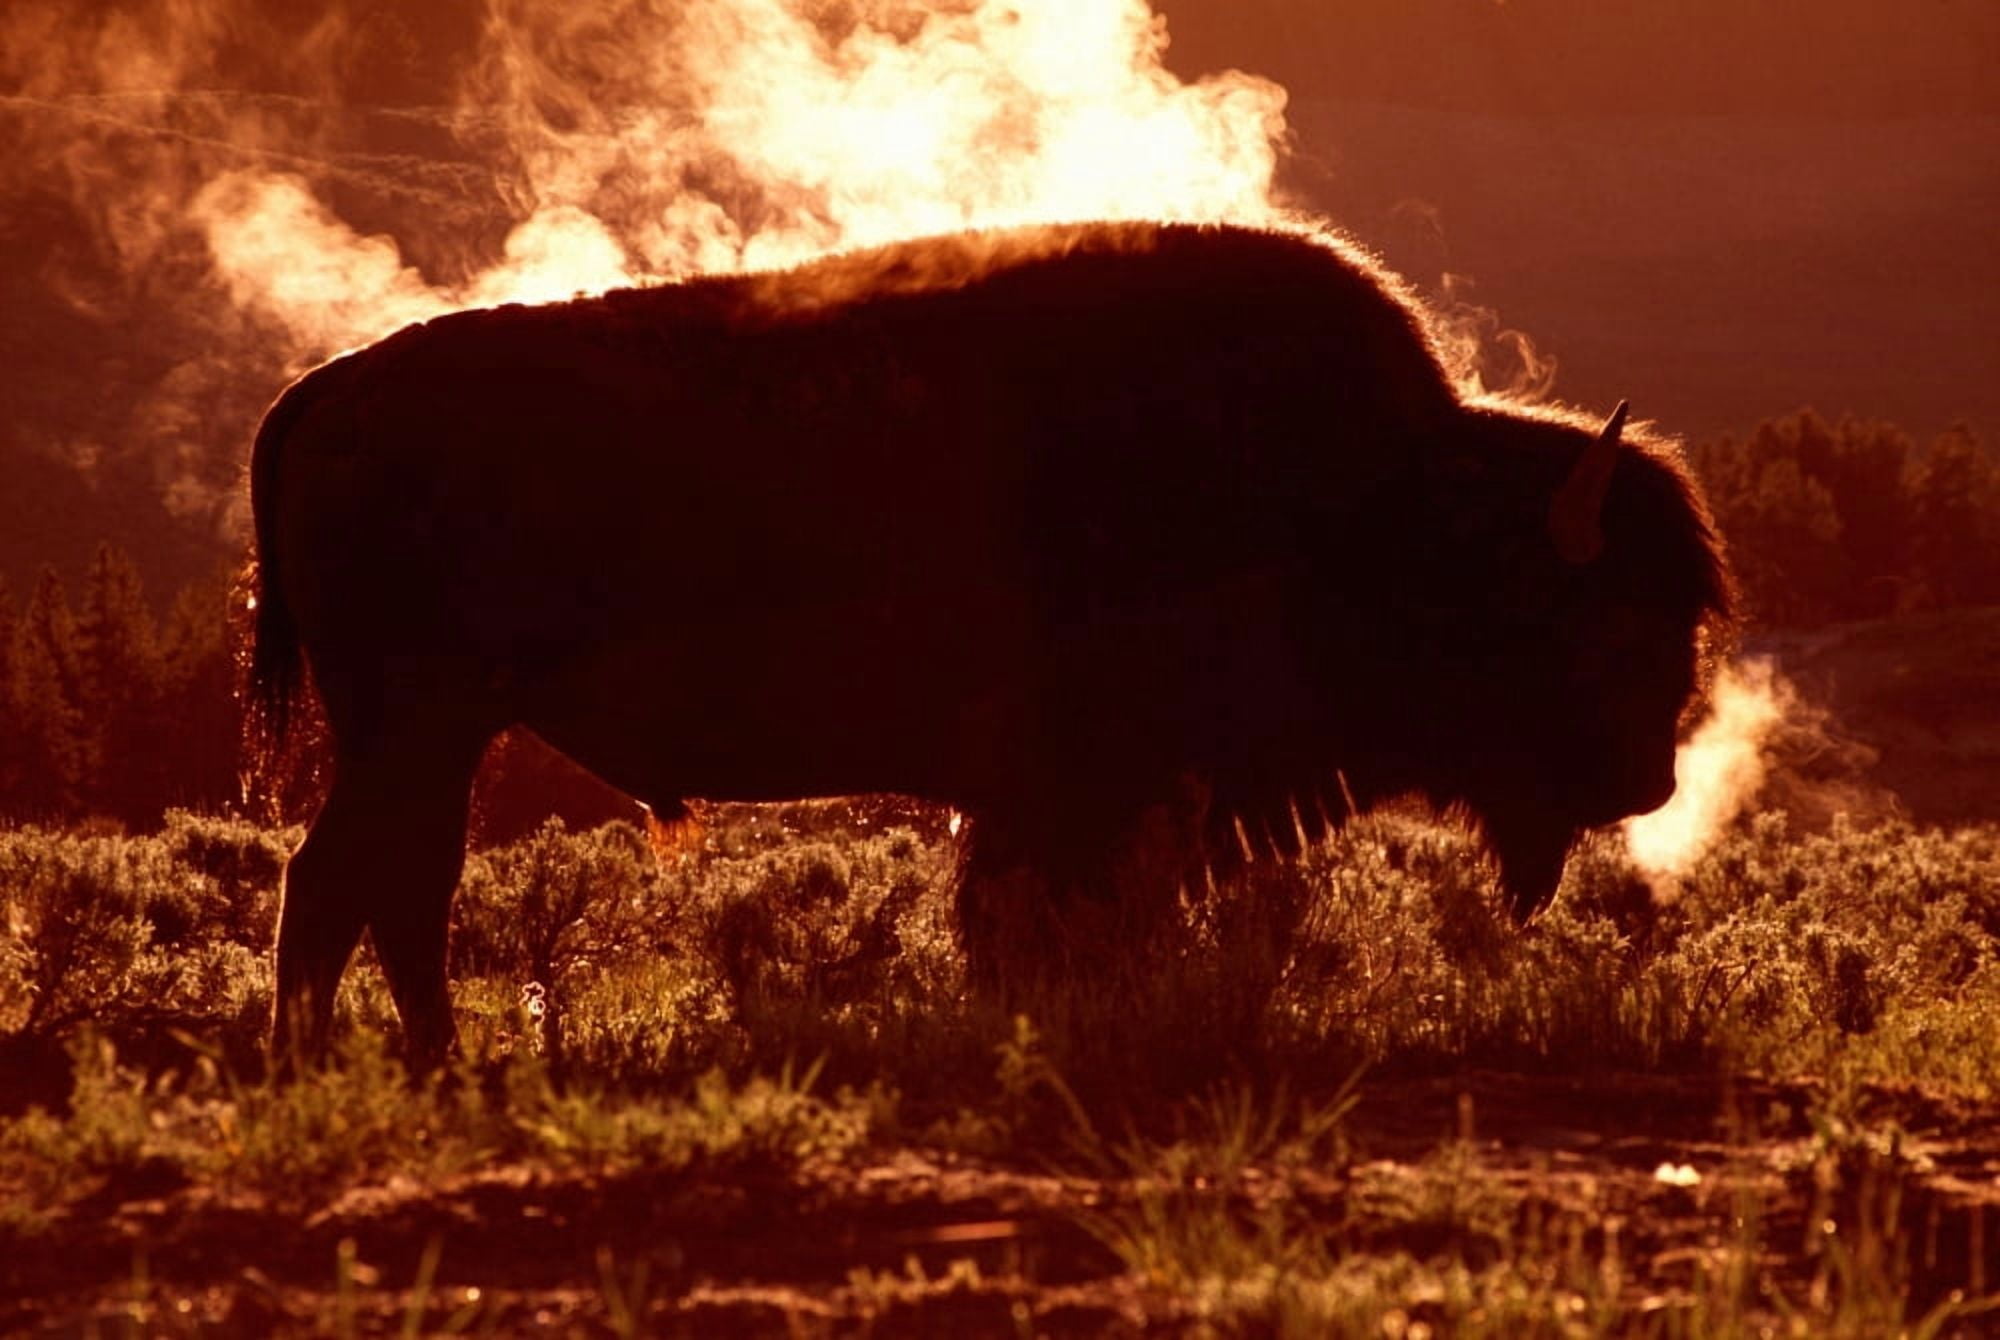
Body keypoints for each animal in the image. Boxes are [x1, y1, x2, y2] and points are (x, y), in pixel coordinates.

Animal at [248, 220, 1731, 1064]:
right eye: (1604, 621)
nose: (1649, 780)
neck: (1379, 499)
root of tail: (326, 391)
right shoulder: (1083, 793)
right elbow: (1043, 918)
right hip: (420, 724)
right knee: (350, 883)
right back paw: (355, 1064)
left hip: (435, 735)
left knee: (389, 885)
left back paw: (419, 1060)